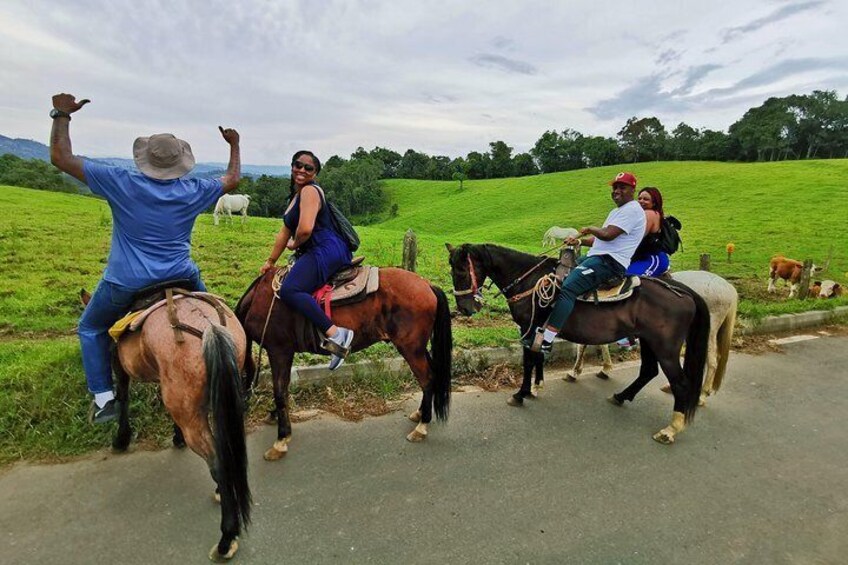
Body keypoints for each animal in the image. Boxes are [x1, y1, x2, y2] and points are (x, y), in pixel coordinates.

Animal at [78, 288, 252, 560]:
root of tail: (210, 328)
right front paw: (176, 437)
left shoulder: (118, 364)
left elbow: (123, 396)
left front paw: (121, 439)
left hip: (191, 414)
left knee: (217, 462)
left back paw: (226, 538)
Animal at [235, 266, 454, 458]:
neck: (259, 300)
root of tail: (427, 285)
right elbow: (283, 389)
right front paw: (274, 416)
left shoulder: (279, 351)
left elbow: (280, 391)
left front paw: (281, 439)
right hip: (417, 348)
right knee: (432, 375)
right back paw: (420, 413)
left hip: (410, 348)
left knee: (427, 379)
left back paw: (422, 426)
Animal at [448, 242, 712, 446]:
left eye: (461, 271)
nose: (465, 309)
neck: (531, 281)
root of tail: (681, 290)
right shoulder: (537, 328)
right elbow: (538, 355)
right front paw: (536, 387)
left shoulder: (530, 327)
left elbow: (529, 359)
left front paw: (521, 393)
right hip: (648, 340)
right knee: (648, 371)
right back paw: (621, 397)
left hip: (665, 348)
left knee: (680, 383)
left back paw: (671, 429)